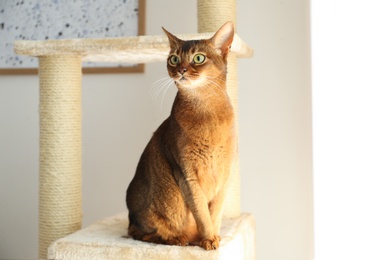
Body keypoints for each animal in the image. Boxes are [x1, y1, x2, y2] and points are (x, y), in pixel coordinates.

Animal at [125, 21, 235, 250]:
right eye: (174, 59)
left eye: (198, 58)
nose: (181, 70)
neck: (207, 112)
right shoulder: (187, 174)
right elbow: (202, 213)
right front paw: (208, 239)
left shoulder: (225, 174)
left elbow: (215, 213)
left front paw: (215, 238)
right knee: (136, 233)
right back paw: (176, 239)